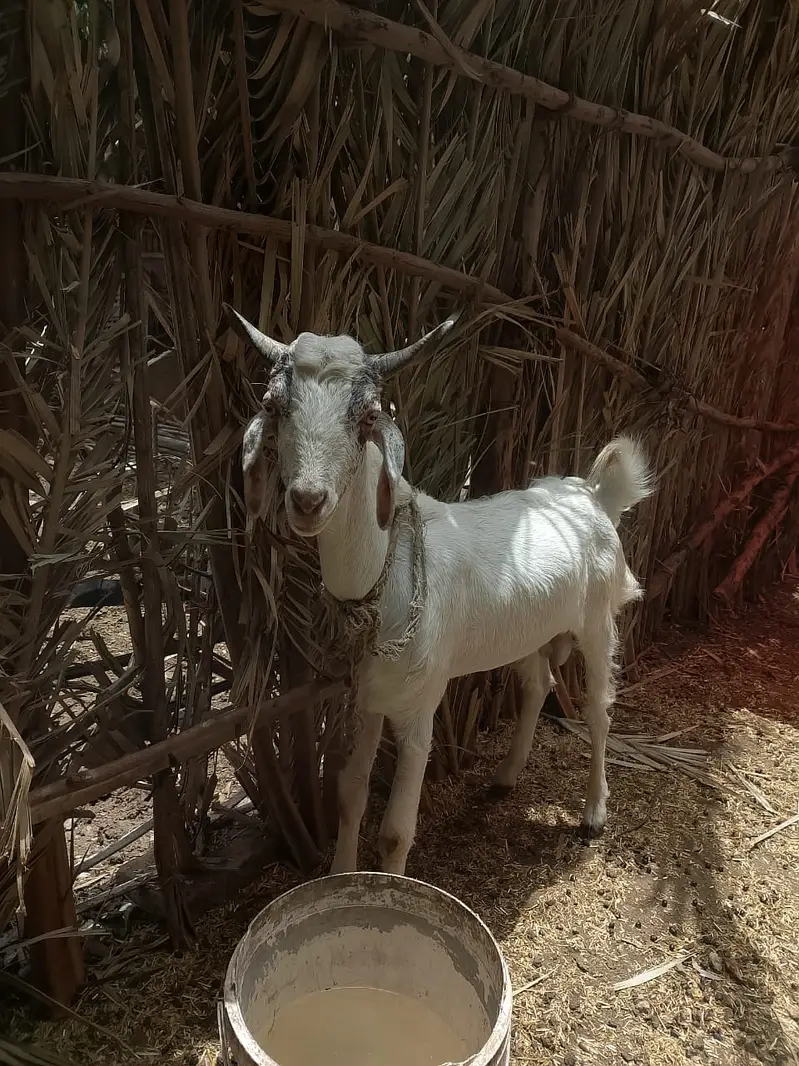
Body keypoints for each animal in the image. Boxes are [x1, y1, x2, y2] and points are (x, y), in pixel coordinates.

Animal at [226, 304, 653, 876]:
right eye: (274, 405)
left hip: (598, 619)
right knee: (538, 684)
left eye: (367, 417)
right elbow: (349, 793)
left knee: (598, 707)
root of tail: (593, 494)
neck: (386, 573)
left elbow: (394, 833)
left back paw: (593, 812)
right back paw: (505, 778)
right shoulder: (369, 700)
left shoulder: (418, 708)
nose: (308, 500)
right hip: (529, 630)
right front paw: (341, 875)